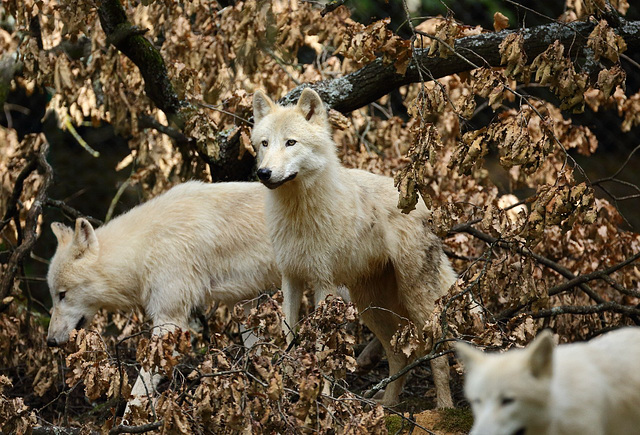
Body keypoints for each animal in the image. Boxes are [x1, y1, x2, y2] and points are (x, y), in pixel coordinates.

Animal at [252, 88, 458, 408]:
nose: (264, 172)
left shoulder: (323, 284)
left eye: (290, 142)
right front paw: (285, 391)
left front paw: (322, 398)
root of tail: (426, 206)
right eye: (264, 143)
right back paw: (386, 405)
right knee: (399, 355)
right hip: (370, 306)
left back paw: (444, 408)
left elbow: (322, 348)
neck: (298, 212)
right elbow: (289, 337)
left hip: (414, 298)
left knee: (435, 353)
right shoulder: (291, 279)